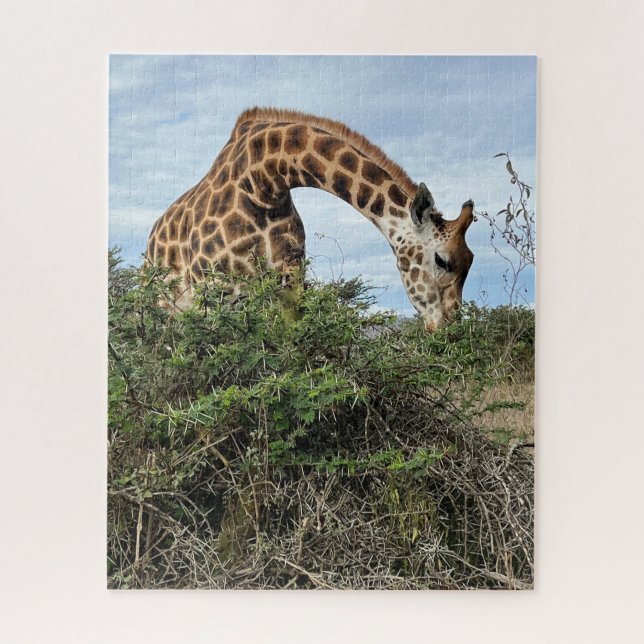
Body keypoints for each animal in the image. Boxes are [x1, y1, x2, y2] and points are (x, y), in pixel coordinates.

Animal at [146, 107, 475, 332]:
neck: (263, 183)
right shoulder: (214, 287)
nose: (449, 329)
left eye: (469, 262)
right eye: (442, 260)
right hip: (166, 307)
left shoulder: (290, 279)